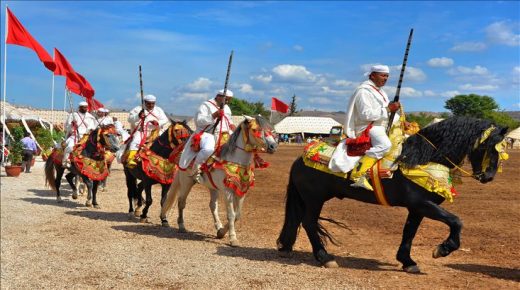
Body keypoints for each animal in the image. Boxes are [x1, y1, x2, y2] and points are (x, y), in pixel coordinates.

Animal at [160, 114, 278, 246]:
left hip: (213, 187)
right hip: (186, 182)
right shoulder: (228, 192)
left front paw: (221, 232)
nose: (273, 146)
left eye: (270, 129)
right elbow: (231, 215)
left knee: (212, 205)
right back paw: (181, 226)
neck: (236, 160)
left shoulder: (242, 191)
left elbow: (237, 215)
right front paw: (233, 239)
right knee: (181, 202)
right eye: (255, 130)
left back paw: (218, 226)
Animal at [278, 115, 510, 272]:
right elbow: (456, 221)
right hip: (314, 198)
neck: (422, 157)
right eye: (490, 148)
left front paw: (407, 261)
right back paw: (325, 257)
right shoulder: (423, 203)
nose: (488, 176)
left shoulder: (417, 208)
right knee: (309, 222)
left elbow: (409, 232)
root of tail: (300, 159)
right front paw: (442, 249)